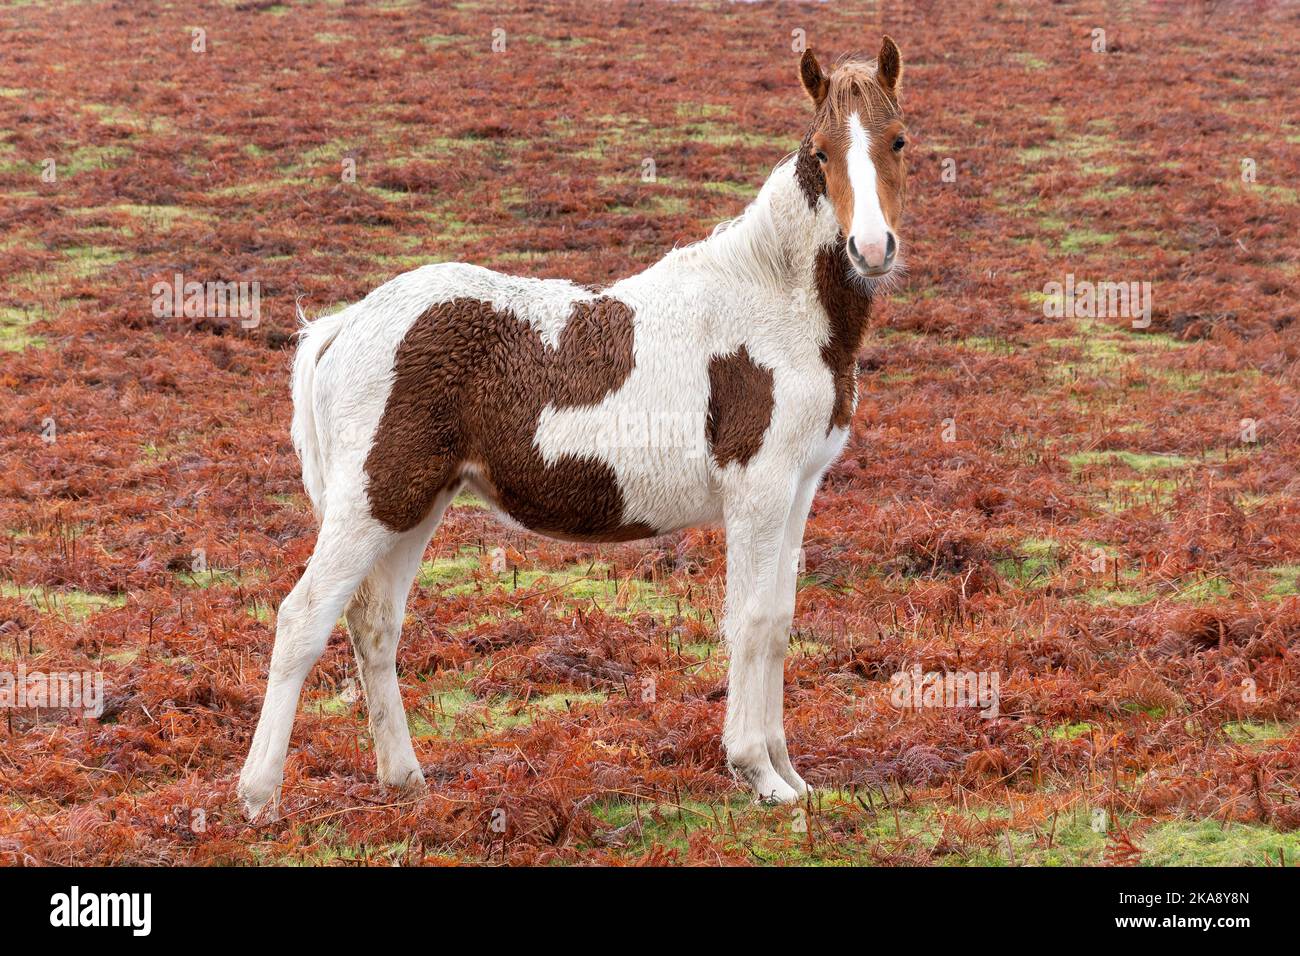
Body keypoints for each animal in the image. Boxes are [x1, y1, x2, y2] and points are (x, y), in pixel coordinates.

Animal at [238, 37, 909, 818]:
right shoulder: (758, 492)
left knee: (374, 625)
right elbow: (748, 621)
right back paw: (258, 794)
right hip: (372, 505)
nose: (871, 248)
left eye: (897, 140)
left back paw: (404, 778)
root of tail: (343, 325)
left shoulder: (797, 490)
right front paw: (757, 773)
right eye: (822, 152)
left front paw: (790, 775)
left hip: (412, 508)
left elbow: (776, 622)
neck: (770, 304)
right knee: (301, 620)